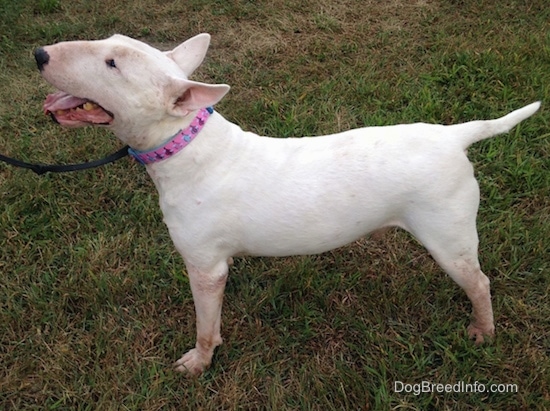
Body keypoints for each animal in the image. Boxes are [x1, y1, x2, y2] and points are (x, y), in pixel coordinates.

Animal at [34, 33, 544, 374]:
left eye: (112, 63)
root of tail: (454, 136)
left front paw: (198, 362)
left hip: (447, 234)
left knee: (479, 281)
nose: (40, 55)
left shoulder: (205, 267)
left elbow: (205, 323)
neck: (184, 144)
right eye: (110, 46)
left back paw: (483, 331)